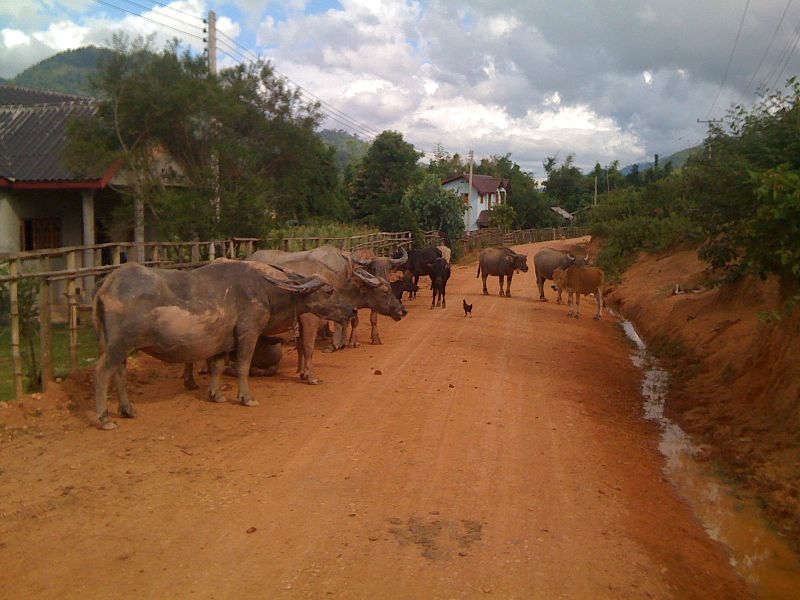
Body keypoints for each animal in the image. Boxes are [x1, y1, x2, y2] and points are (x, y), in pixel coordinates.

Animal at [92, 260, 354, 428]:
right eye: (328, 291)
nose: (351, 309)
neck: (265, 291)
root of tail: (107, 286)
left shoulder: (223, 343)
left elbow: (217, 366)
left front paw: (216, 394)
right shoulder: (249, 333)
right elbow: (243, 365)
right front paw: (246, 397)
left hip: (117, 346)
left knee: (119, 373)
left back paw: (128, 410)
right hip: (119, 345)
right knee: (103, 372)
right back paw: (105, 418)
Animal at [248, 247, 406, 384]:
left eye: (389, 271)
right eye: (385, 291)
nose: (402, 311)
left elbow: (301, 347)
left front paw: (302, 371)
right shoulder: (309, 319)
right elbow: (308, 346)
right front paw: (313, 372)